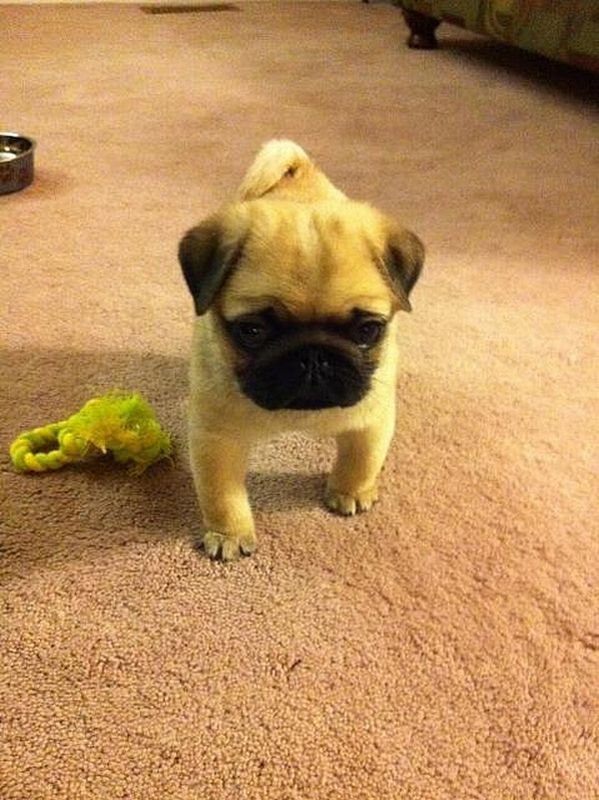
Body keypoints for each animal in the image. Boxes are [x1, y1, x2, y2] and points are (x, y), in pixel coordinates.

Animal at [178, 140, 424, 560]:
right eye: (252, 331)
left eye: (368, 330)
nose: (312, 357)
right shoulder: (216, 439)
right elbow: (222, 495)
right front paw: (229, 534)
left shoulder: (371, 420)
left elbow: (361, 460)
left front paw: (351, 491)